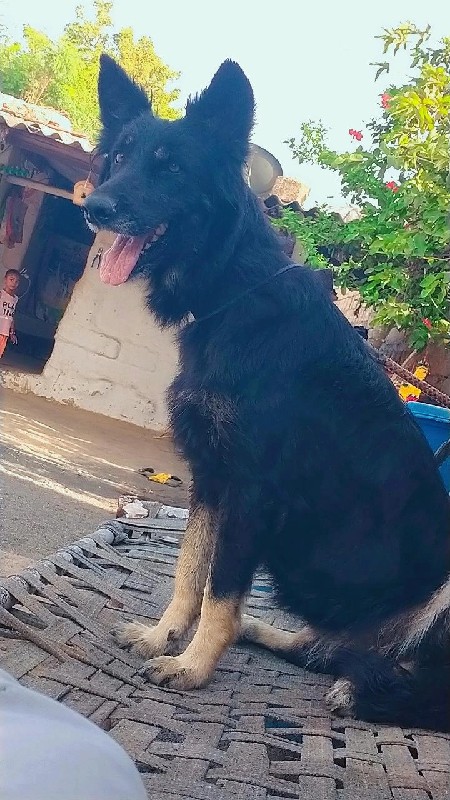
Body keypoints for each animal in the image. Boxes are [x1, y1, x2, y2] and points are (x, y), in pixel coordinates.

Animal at [83, 54, 450, 730]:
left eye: (171, 167)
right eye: (119, 157)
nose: (94, 207)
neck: (236, 296)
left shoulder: (252, 493)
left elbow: (219, 590)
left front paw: (194, 666)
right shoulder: (210, 482)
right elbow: (190, 574)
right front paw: (163, 637)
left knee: (431, 692)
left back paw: (363, 693)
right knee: (325, 649)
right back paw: (276, 637)